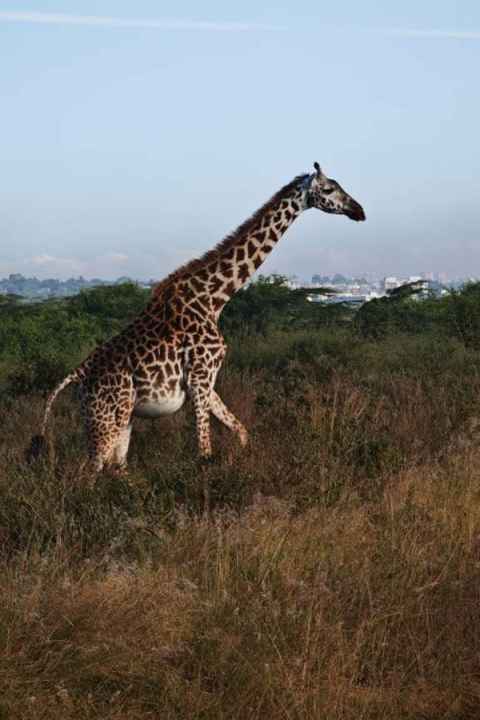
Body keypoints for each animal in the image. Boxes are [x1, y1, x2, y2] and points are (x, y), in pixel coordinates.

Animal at [28, 162, 365, 471]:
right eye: (328, 189)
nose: (358, 210)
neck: (213, 298)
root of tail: (79, 372)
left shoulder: (206, 381)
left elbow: (241, 431)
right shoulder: (200, 378)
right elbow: (203, 452)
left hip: (120, 419)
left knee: (116, 469)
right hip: (105, 418)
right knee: (89, 473)